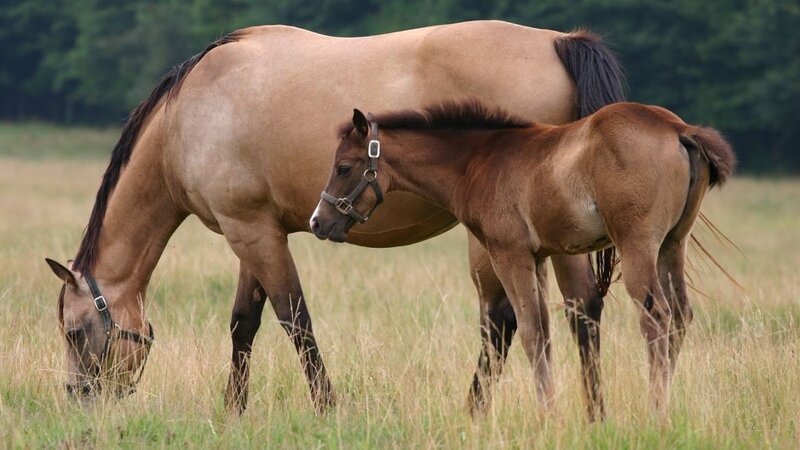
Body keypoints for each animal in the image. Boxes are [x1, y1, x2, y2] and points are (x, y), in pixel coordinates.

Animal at [44, 20, 625, 419]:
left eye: (74, 332)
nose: (78, 399)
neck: (189, 117)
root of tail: (559, 41)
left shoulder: (249, 232)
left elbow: (294, 318)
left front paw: (326, 407)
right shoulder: (255, 230)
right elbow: (244, 322)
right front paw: (233, 410)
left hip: (499, 240)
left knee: (504, 320)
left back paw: (477, 412)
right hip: (556, 237)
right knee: (581, 310)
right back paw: (592, 413)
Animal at [312, 100, 735, 417]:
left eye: (343, 168)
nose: (319, 221)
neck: (478, 161)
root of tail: (678, 129)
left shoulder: (509, 254)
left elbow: (531, 332)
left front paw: (548, 414)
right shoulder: (538, 257)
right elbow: (544, 332)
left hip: (637, 247)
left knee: (657, 316)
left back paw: (656, 411)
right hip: (671, 246)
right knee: (680, 315)